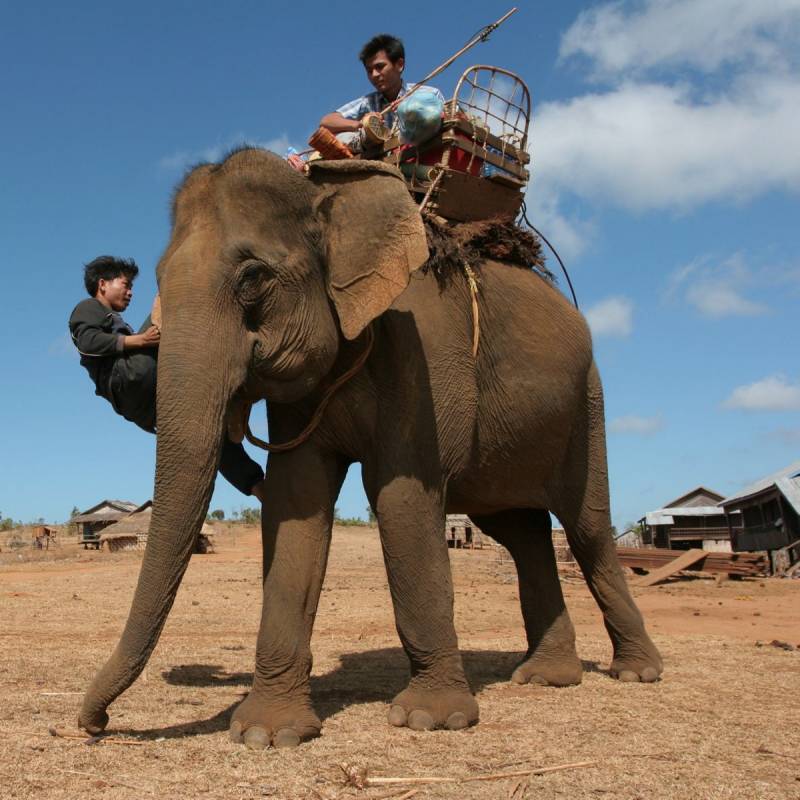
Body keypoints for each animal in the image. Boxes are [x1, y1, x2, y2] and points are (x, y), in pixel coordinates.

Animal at [79, 149, 662, 748]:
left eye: (252, 278)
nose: (94, 723)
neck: (326, 196)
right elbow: (297, 498)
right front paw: (268, 734)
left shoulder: (425, 345)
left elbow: (401, 495)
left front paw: (433, 719)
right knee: (522, 533)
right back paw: (547, 677)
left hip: (588, 403)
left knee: (587, 527)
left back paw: (635, 671)